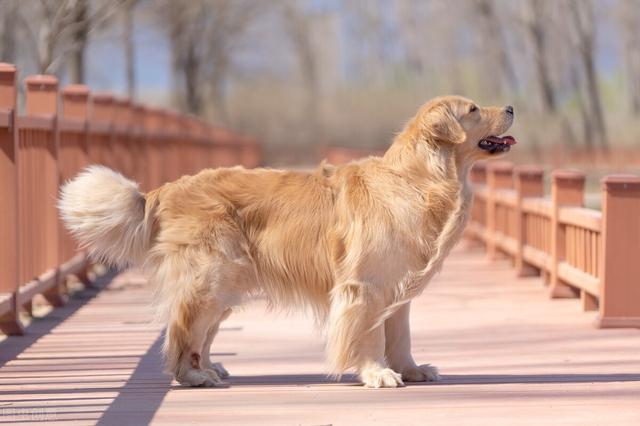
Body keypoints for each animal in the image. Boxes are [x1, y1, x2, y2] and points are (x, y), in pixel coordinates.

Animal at [56, 95, 516, 388]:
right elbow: (368, 335)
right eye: (473, 109)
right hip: (212, 276)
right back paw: (194, 377)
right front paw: (377, 373)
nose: (511, 107)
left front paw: (413, 370)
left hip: (226, 285)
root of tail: (166, 190)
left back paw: (211, 368)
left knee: (201, 334)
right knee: (183, 330)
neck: (419, 179)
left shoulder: (397, 286)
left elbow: (400, 336)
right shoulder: (365, 286)